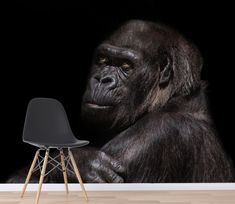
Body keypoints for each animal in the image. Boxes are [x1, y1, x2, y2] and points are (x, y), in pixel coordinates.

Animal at [7, 19, 233, 183]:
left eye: (126, 66)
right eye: (103, 60)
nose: (103, 79)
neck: (170, 99)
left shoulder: (151, 138)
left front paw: (79, 164)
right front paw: (83, 163)